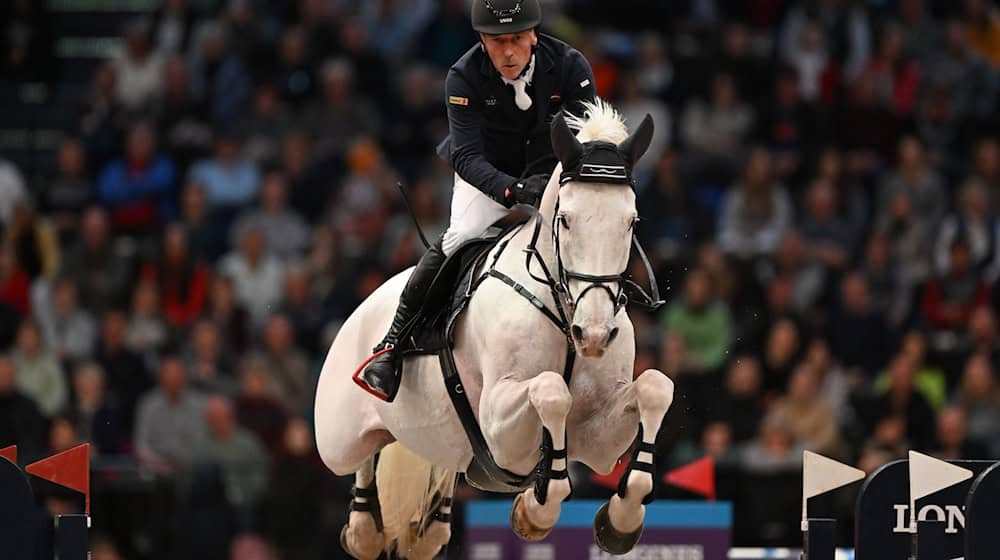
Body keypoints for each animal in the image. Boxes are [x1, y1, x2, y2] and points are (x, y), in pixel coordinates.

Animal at [314, 100, 672, 560]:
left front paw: (620, 521)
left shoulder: (598, 439)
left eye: (631, 221)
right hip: (337, 439)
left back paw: (429, 527)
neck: (562, 311)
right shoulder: (500, 425)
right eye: (566, 220)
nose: (593, 335)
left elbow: (655, 387)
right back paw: (363, 527)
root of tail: (364, 305)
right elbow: (551, 391)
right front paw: (536, 510)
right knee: (363, 454)